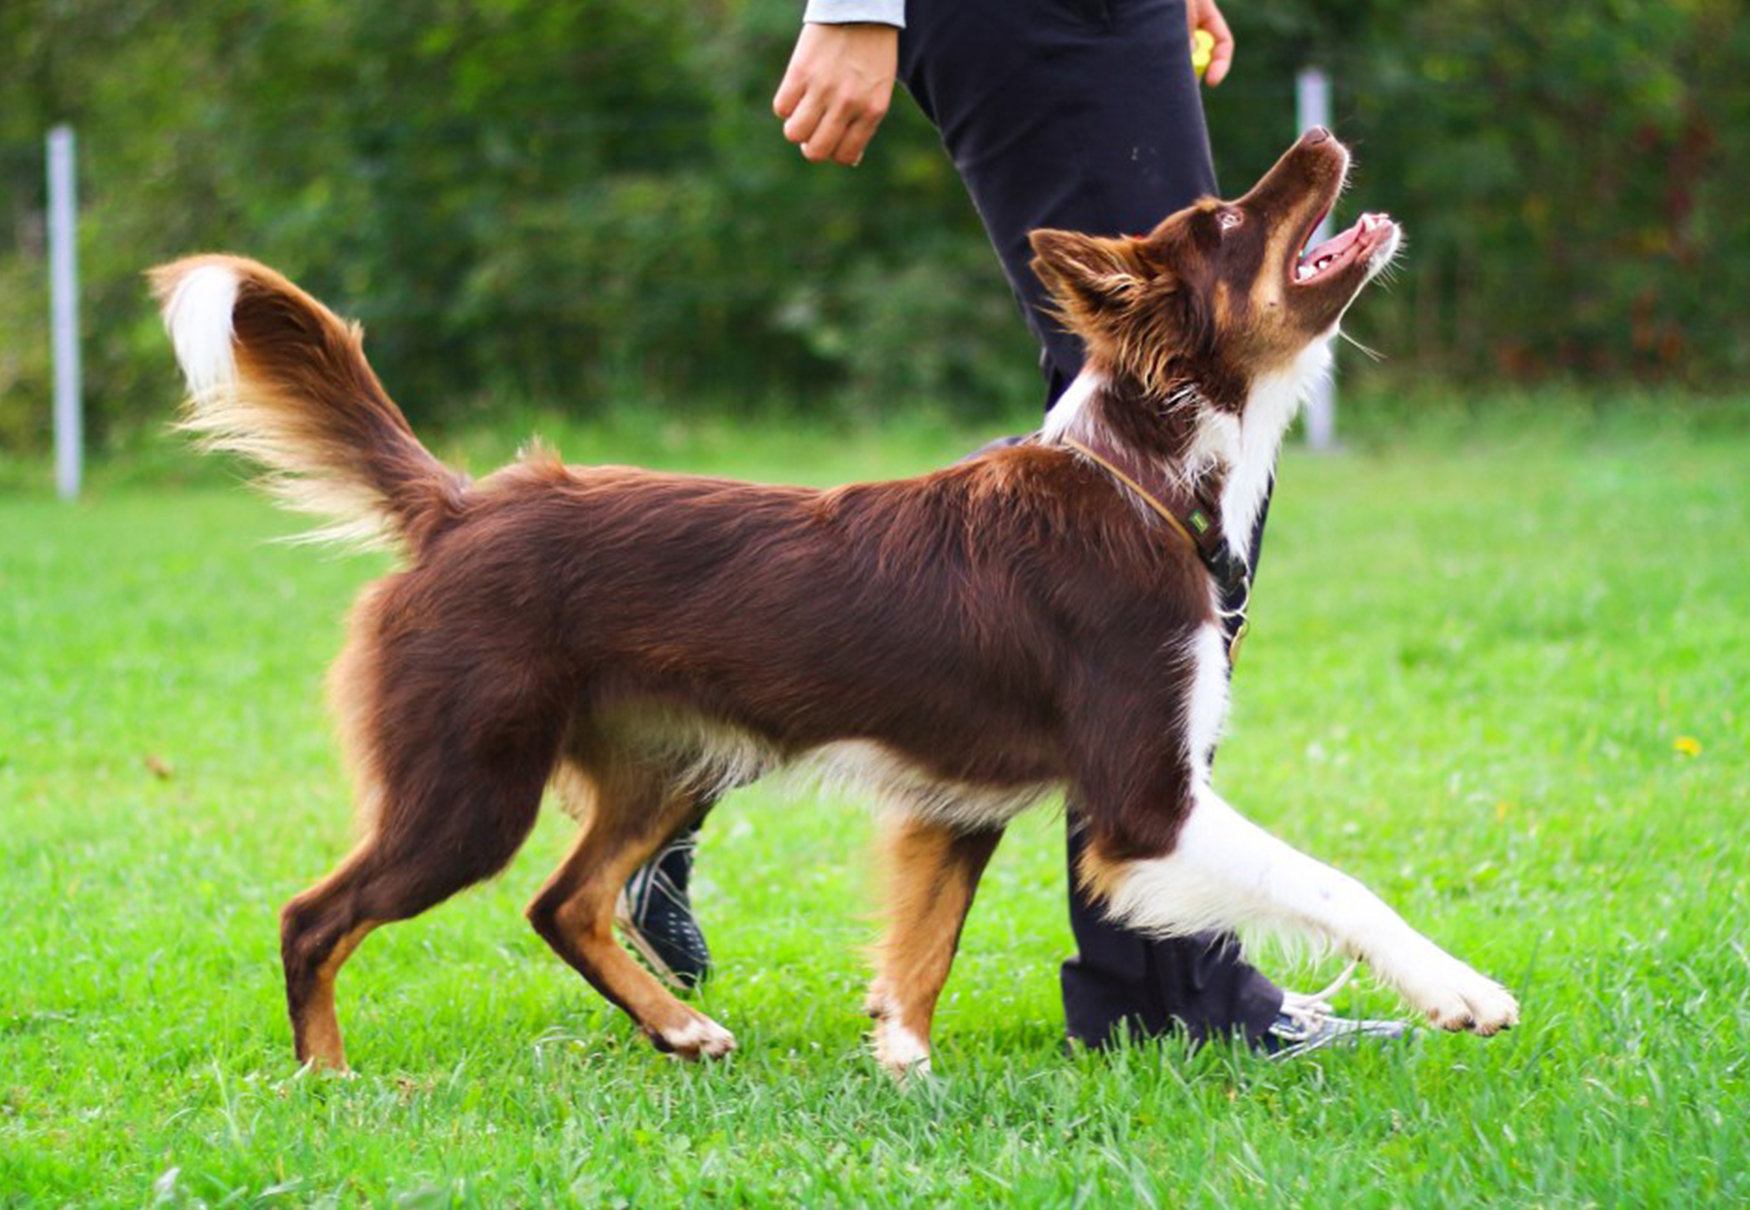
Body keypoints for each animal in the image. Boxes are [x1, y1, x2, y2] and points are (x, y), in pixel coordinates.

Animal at [154, 127, 1519, 1071]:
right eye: (1229, 217)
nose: (1321, 138)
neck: (1141, 475)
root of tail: (460, 505)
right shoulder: (1142, 803)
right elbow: (1331, 884)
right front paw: (1458, 990)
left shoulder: (951, 804)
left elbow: (921, 950)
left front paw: (900, 1065)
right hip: (468, 785)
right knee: (314, 915)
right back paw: (329, 1081)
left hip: (670, 763)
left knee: (563, 899)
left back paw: (679, 1032)